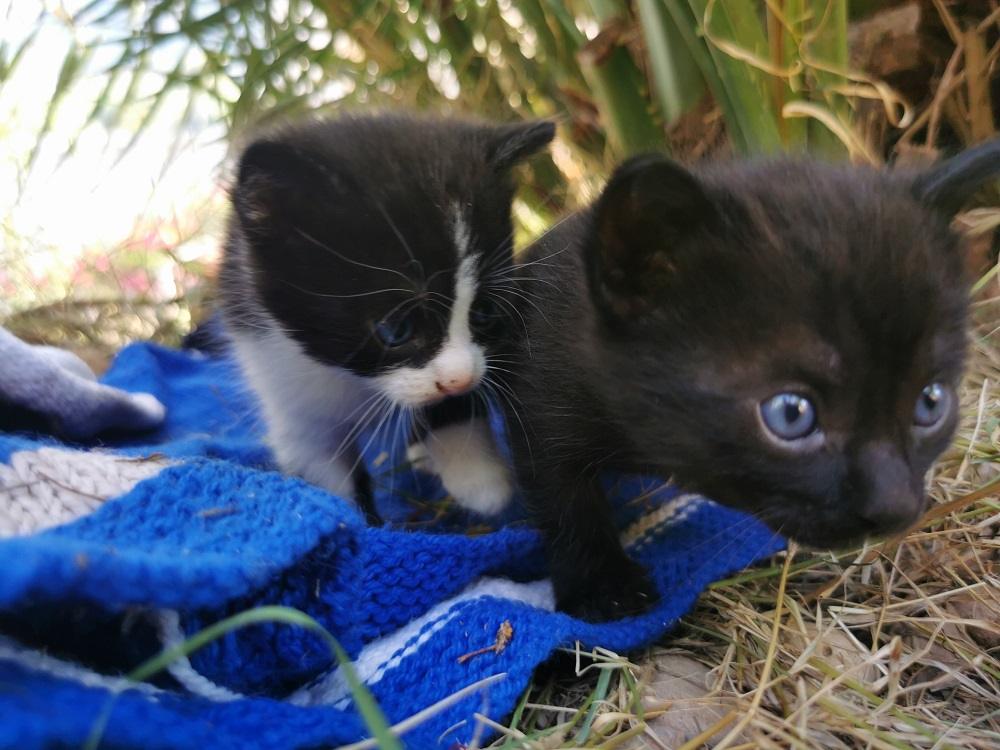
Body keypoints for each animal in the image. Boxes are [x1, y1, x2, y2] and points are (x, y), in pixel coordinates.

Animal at [218, 114, 556, 520]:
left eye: (484, 312)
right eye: (396, 329)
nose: (459, 381)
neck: (356, 379)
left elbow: (452, 399)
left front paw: (477, 476)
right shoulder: (276, 367)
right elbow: (322, 467)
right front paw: (354, 523)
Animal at [508, 141, 1000, 624]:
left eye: (930, 402)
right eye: (791, 414)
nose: (895, 507)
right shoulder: (540, 396)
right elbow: (566, 499)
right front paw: (604, 587)